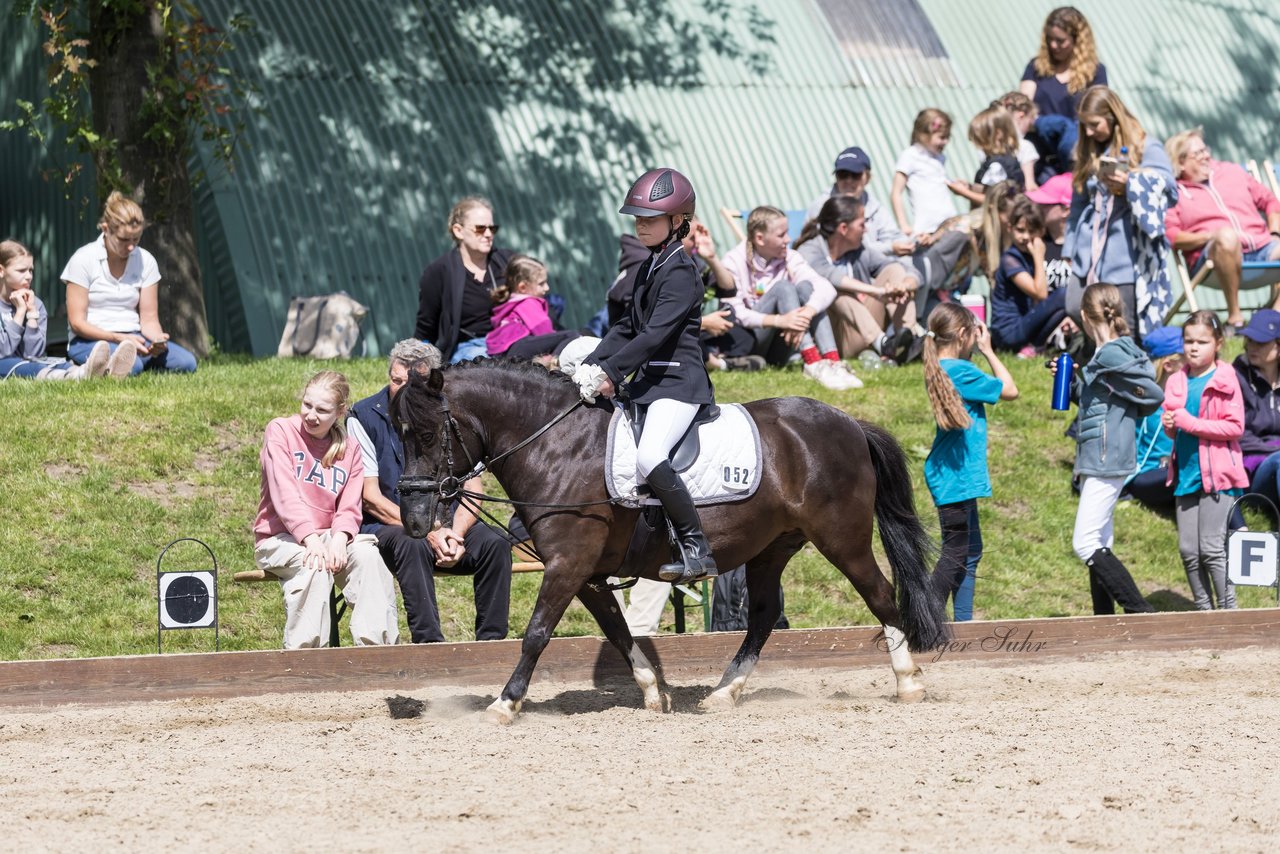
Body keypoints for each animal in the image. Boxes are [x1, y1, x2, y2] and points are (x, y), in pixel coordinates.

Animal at [394, 361, 947, 722]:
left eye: (427, 436)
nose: (416, 521)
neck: (555, 445)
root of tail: (848, 422)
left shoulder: (568, 565)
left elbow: (536, 634)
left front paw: (505, 703)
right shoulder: (588, 575)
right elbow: (619, 634)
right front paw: (652, 693)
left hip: (842, 539)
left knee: (880, 595)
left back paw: (909, 682)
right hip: (771, 547)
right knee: (763, 616)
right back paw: (724, 694)